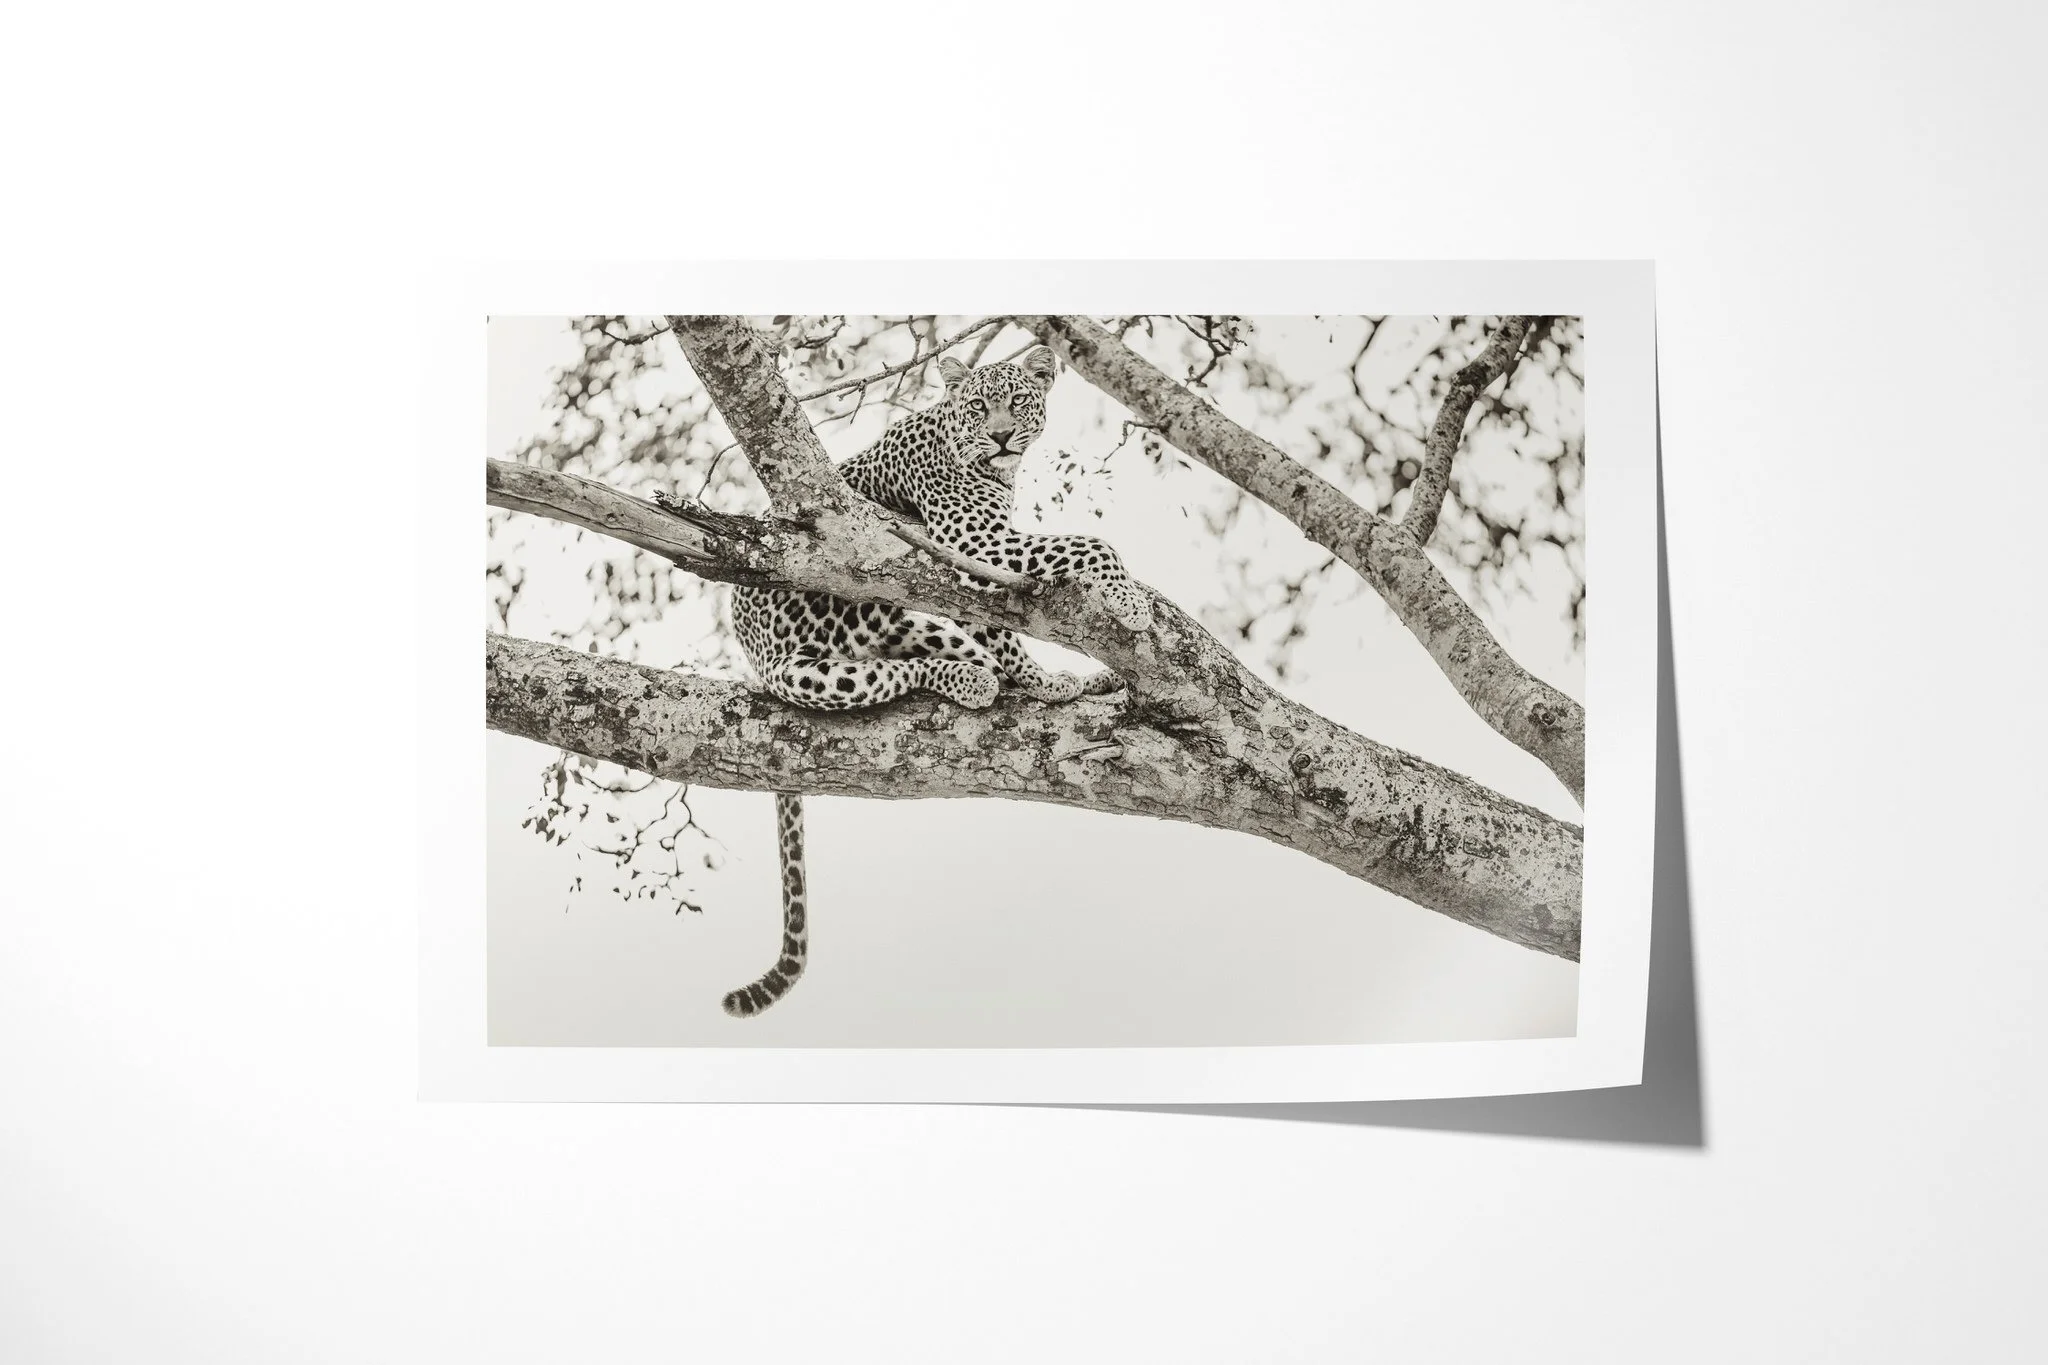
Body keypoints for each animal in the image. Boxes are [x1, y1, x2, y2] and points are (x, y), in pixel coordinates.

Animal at [659, 343, 1152, 1018]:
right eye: (979, 406)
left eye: (1016, 401)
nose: (1001, 437)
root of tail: (755, 658)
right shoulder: (973, 542)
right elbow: (1089, 543)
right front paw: (1129, 601)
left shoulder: (977, 559)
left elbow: (1003, 628)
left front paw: (1050, 678)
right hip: (853, 620)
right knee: (897, 669)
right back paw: (976, 683)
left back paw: (1060, 681)